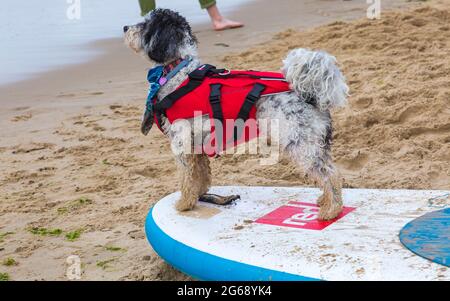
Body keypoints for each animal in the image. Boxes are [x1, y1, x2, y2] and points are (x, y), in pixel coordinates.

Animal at [125, 8, 350, 220]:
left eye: (145, 26)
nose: (125, 27)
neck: (179, 72)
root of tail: (310, 95)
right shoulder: (196, 145)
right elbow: (201, 175)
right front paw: (199, 195)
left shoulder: (182, 143)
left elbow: (187, 178)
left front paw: (185, 204)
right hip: (316, 143)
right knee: (329, 169)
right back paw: (325, 200)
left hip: (301, 143)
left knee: (329, 174)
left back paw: (331, 210)